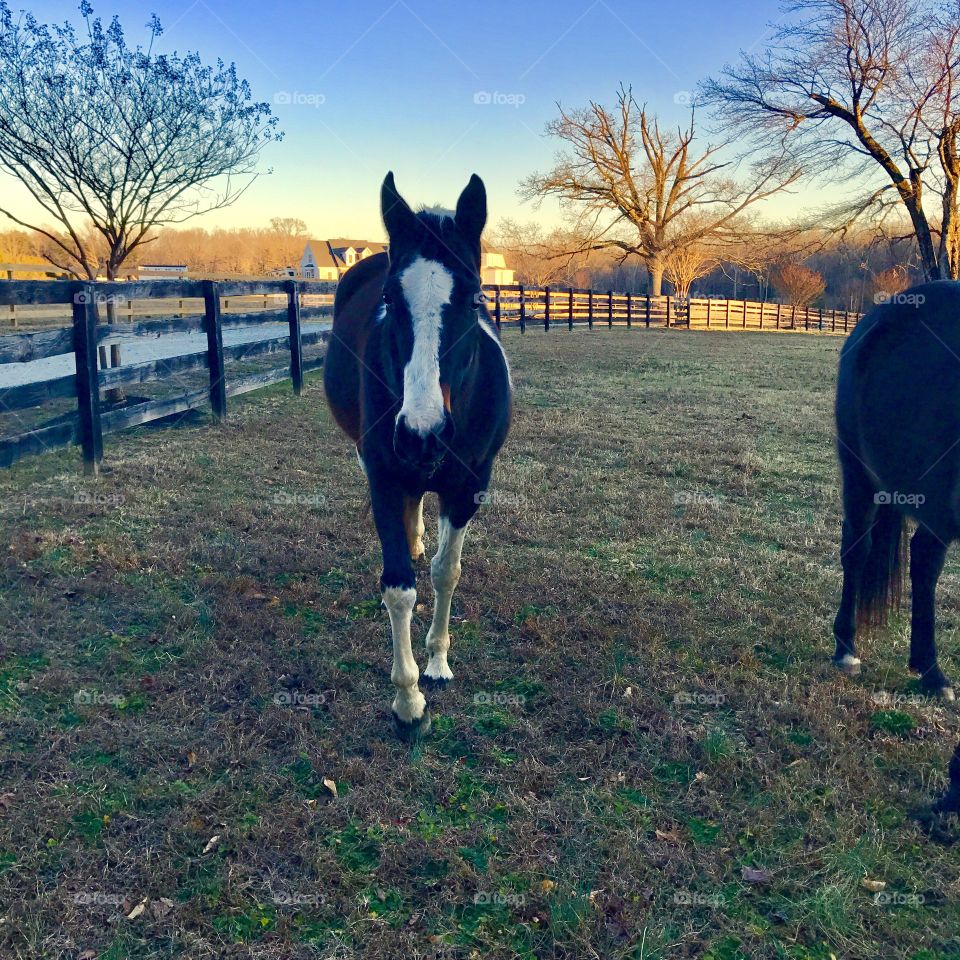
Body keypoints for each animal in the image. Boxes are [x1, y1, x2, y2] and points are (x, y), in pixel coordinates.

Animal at [322, 172, 512, 740]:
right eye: (390, 297)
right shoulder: (384, 479)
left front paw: (438, 663)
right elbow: (399, 586)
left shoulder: (469, 487)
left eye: (474, 297)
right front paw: (408, 701)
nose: (421, 433)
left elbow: (446, 573)